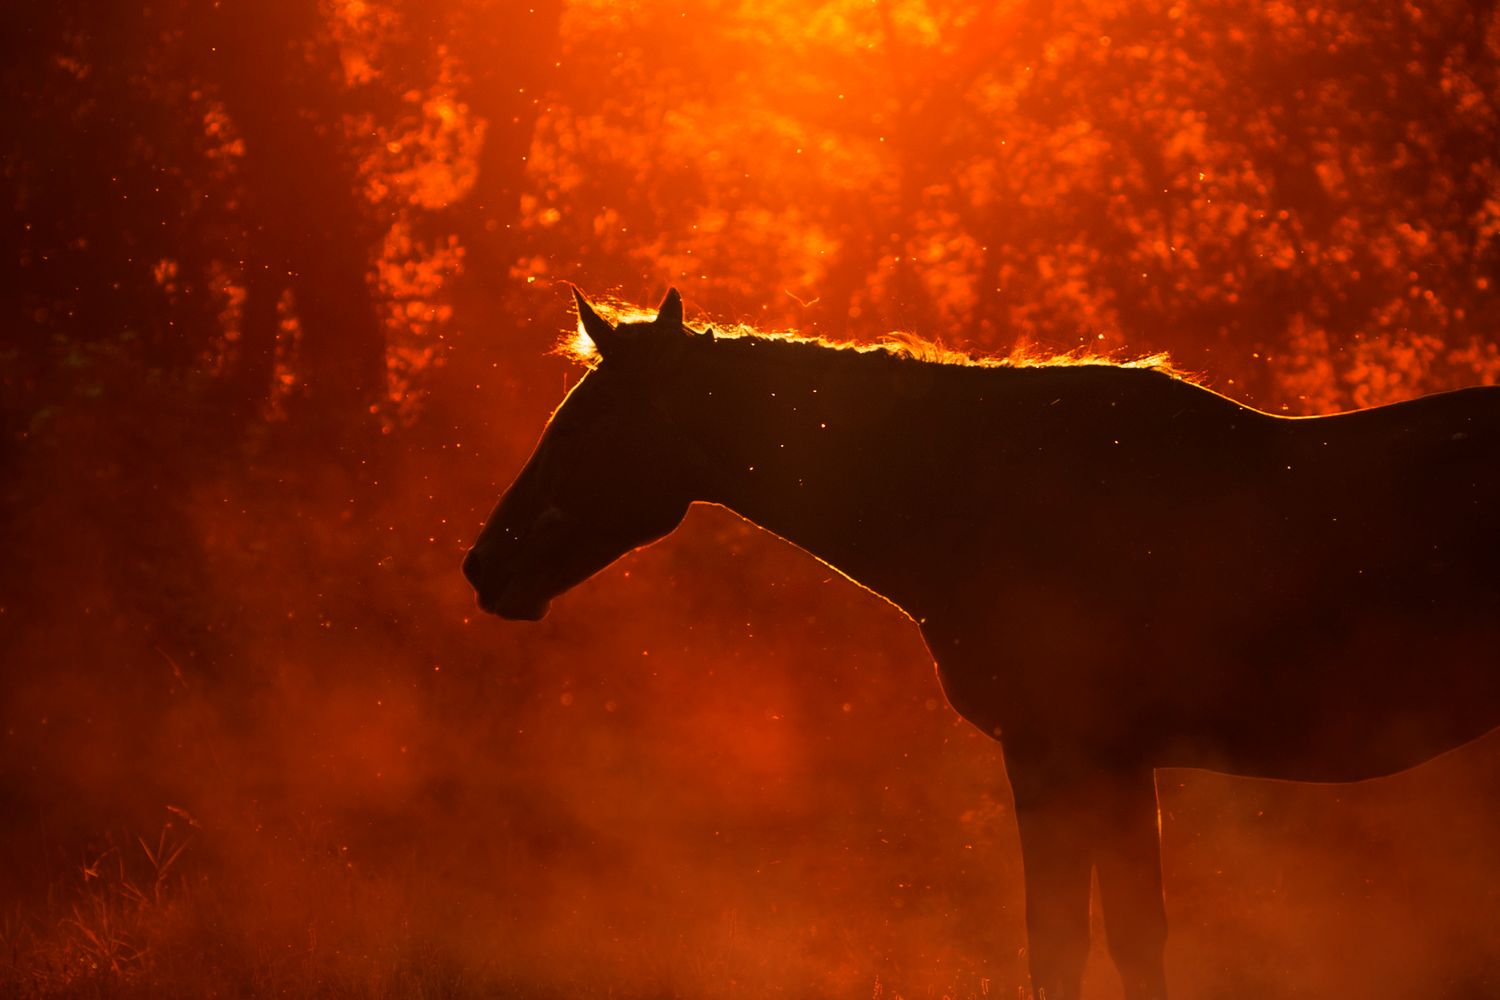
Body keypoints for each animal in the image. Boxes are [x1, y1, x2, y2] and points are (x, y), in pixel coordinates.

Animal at [462, 288, 1500, 1000]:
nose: (485, 564)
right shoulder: (1111, 764)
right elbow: (1119, 937)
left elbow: (1071, 940)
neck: (986, 495)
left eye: (585, 425)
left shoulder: (1063, 756)